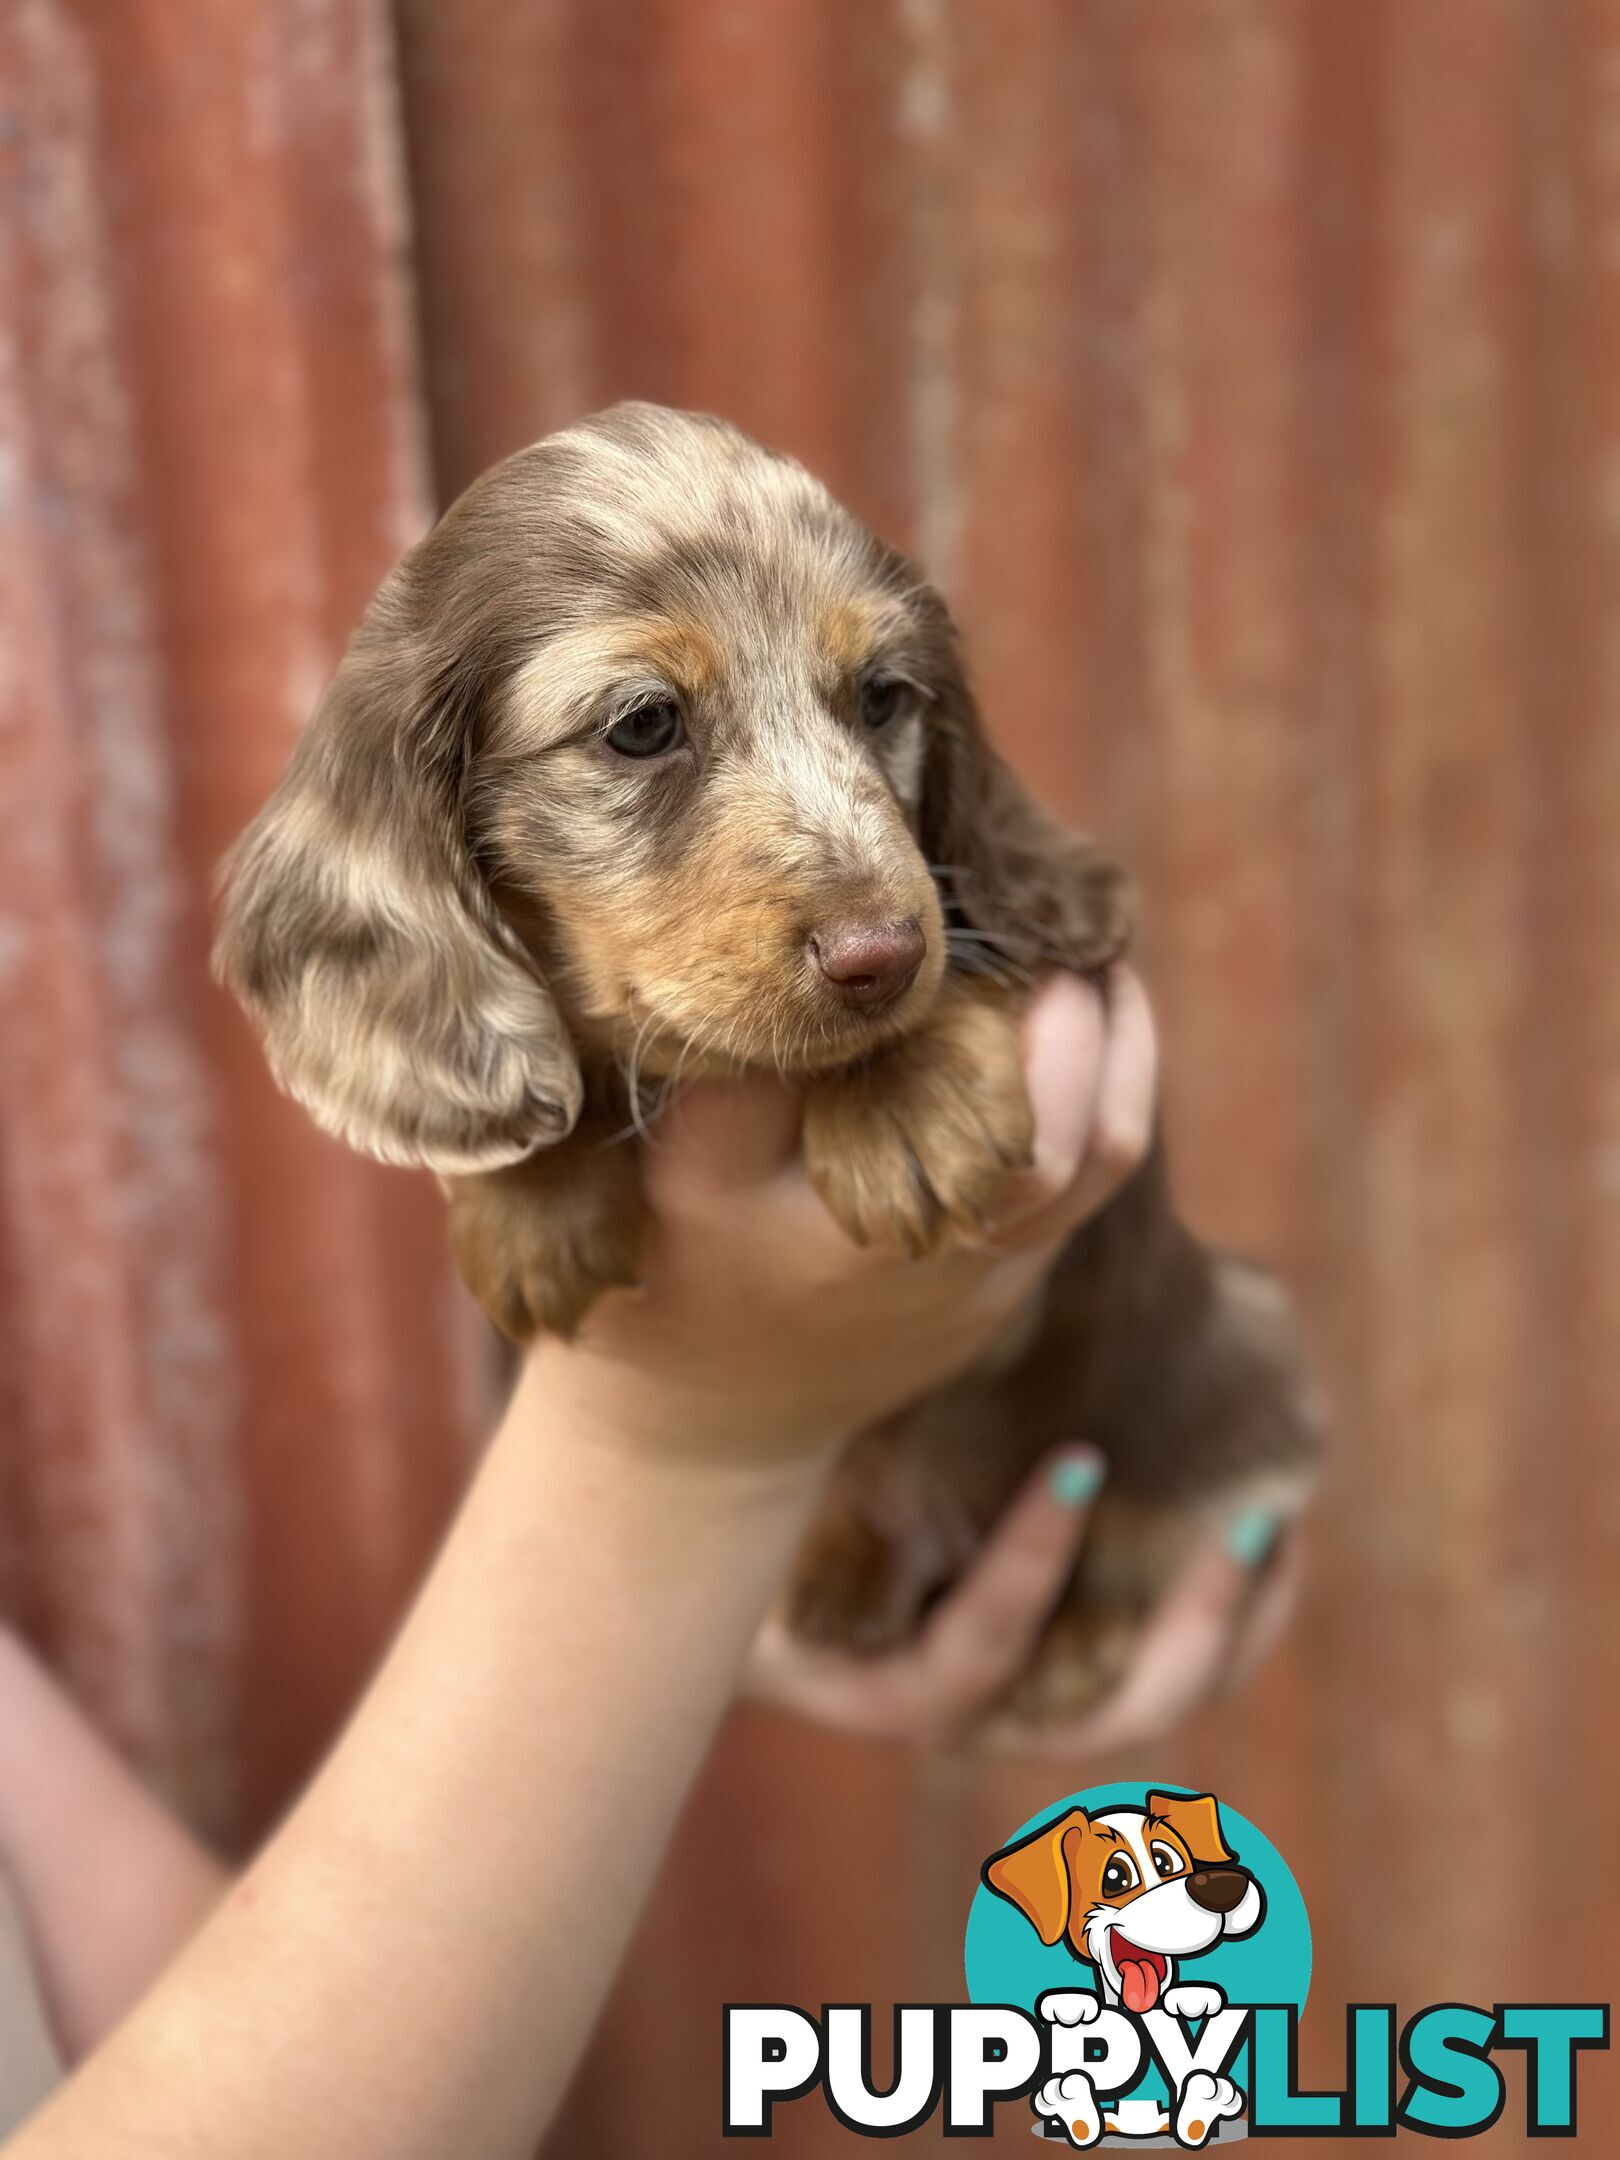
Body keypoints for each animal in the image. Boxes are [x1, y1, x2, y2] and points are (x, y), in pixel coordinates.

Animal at [216, 406, 1321, 1710]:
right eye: (643, 723)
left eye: (884, 695)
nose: (880, 955)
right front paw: (534, 1198)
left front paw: (905, 1098)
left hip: (1232, 1343)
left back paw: (1074, 1633)